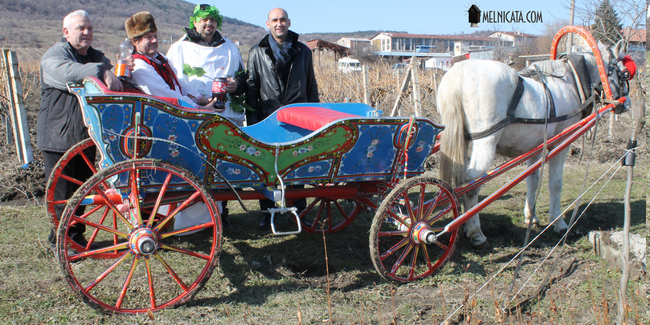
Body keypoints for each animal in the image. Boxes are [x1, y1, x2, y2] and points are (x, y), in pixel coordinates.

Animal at [436, 41, 628, 247]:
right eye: (623, 72)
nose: (625, 104)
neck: (570, 82)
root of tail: (459, 72)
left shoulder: (535, 147)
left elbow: (533, 181)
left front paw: (531, 217)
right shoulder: (561, 143)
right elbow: (555, 183)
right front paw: (559, 223)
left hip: (461, 141)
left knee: (460, 181)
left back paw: (463, 224)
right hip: (486, 142)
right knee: (471, 182)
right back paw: (475, 232)